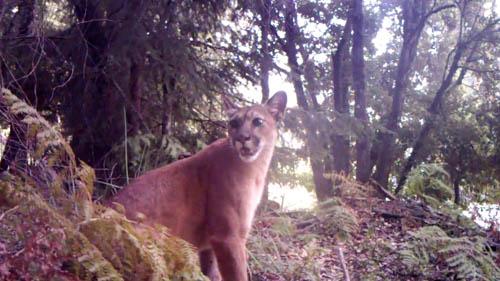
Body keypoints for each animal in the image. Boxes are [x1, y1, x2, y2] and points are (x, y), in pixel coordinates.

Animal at [111, 91, 288, 278]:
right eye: (234, 123)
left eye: (258, 121)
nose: (242, 137)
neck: (255, 168)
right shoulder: (228, 236)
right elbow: (237, 275)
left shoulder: (211, 244)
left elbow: (212, 271)